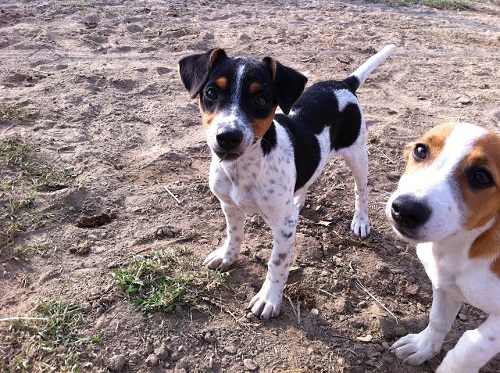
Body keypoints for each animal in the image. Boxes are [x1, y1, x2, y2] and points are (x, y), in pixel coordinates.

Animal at [179, 42, 394, 316]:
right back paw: (298, 202)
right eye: (211, 93)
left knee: (361, 190)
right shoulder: (230, 206)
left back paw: (361, 221)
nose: (227, 136)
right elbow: (234, 235)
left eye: (261, 100)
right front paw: (227, 256)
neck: (244, 167)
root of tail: (342, 84)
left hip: (357, 154)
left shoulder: (284, 227)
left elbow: (277, 264)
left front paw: (269, 298)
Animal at [386, 121, 500, 370]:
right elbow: (438, 319)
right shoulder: (444, 284)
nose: (406, 210)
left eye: (481, 176)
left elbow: (470, 348)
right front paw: (423, 346)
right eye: (421, 150)